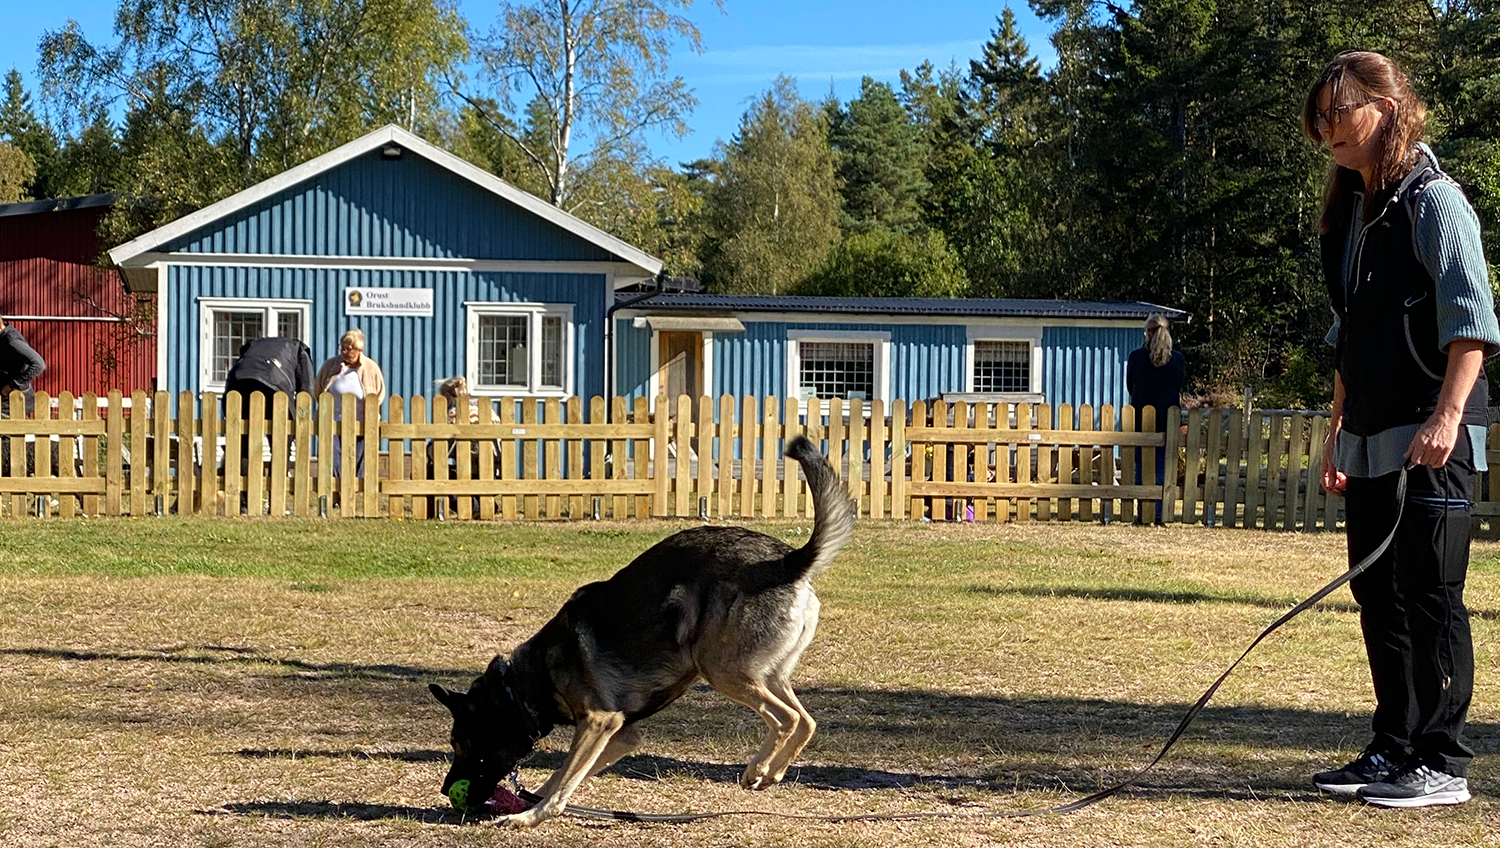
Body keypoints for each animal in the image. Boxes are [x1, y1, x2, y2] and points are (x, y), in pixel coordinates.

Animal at [432, 435, 858, 828]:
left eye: (459, 743)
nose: (444, 789)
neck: (523, 685)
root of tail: (789, 562)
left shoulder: (599, 722)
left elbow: (563, 780)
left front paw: (530, 816)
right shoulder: (621, 734)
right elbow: (560, 778)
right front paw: (534, 807)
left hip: (721, 669)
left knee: (787, 719)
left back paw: (758, 769)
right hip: (766, 674)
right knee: (805, 720)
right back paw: (769, 772)